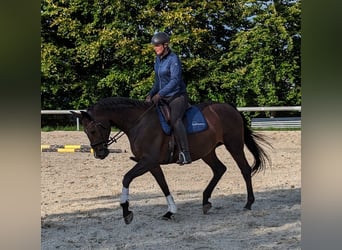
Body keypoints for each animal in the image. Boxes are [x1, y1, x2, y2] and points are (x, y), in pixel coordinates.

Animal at [71, 96, 272, 225]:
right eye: (86, 131)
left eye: (94, 130)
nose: (99, 153)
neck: (139, 122)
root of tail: (231, 108)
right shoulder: (151, 164)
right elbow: (163, 185)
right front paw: (170, 211)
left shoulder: (147, 162)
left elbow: (126, 178)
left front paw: (126, 210)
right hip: (207, 152)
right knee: (219, 169)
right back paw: (205, 201)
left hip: (234, 145)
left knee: (244, 169)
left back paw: (248, 203)